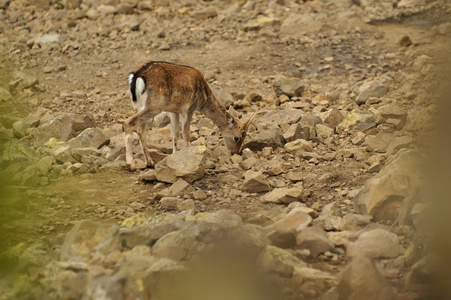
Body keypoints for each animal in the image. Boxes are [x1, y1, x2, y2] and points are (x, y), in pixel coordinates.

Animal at [123, 61, 258, 171]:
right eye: (236, 137)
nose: (236, 153)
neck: (203, 98)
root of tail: (136, 76)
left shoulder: (173, 110)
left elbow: (175, 132)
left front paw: (174, 156)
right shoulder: (188, 109)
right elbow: (186, 133)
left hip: (142, 106)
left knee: (140, 131)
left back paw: (149, 162)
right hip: (155, 105)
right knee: (127, 123)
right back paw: (131, 164)